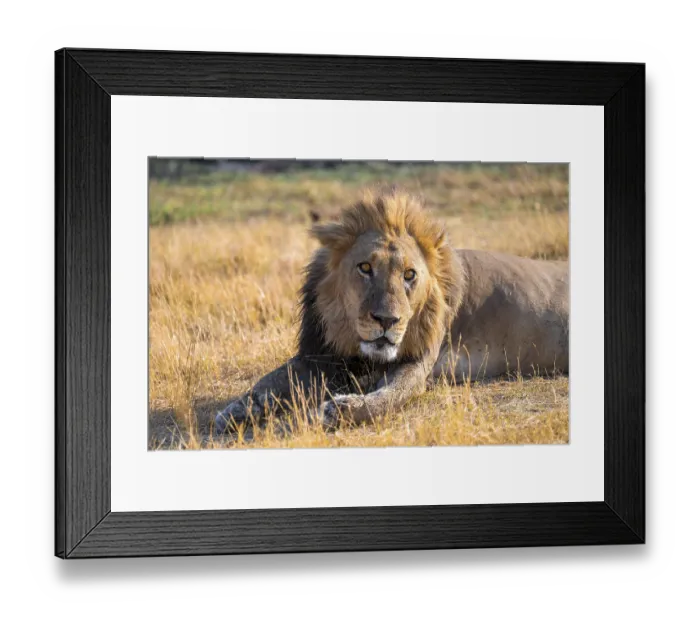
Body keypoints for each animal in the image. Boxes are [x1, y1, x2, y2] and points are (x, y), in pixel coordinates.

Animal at [215, 189, 569, 433]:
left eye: (409, 275)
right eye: (365, 267)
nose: (387, 320)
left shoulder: (417, 362)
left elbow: (390, 396)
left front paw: (338, 410)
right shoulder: (319, 356)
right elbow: (269, 381)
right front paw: (234, 412)